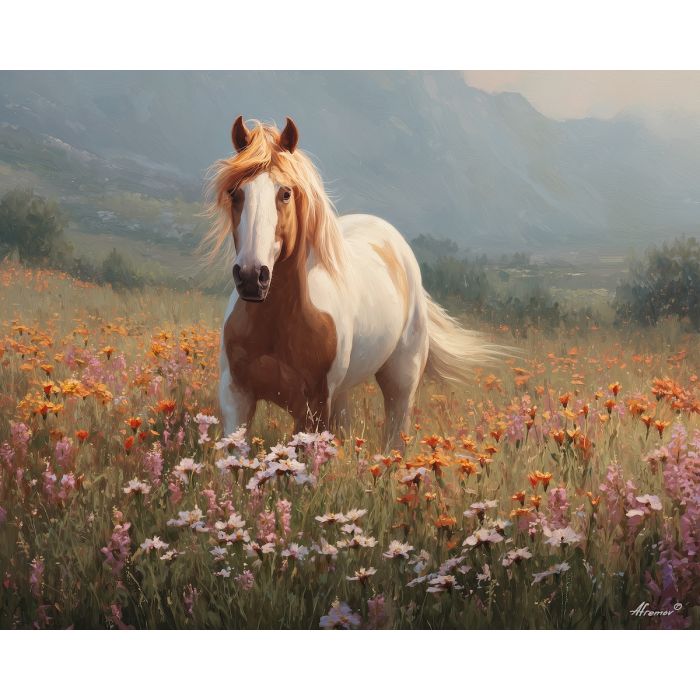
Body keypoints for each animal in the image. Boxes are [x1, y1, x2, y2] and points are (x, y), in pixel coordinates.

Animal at [202, 116, 505, 448]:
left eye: (285, 193)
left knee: (396, 432)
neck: (278, 324)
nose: (251, 277)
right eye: (235, 193)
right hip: (343, 393)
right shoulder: (236, 397)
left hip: (401, 379)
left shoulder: (313, 407)